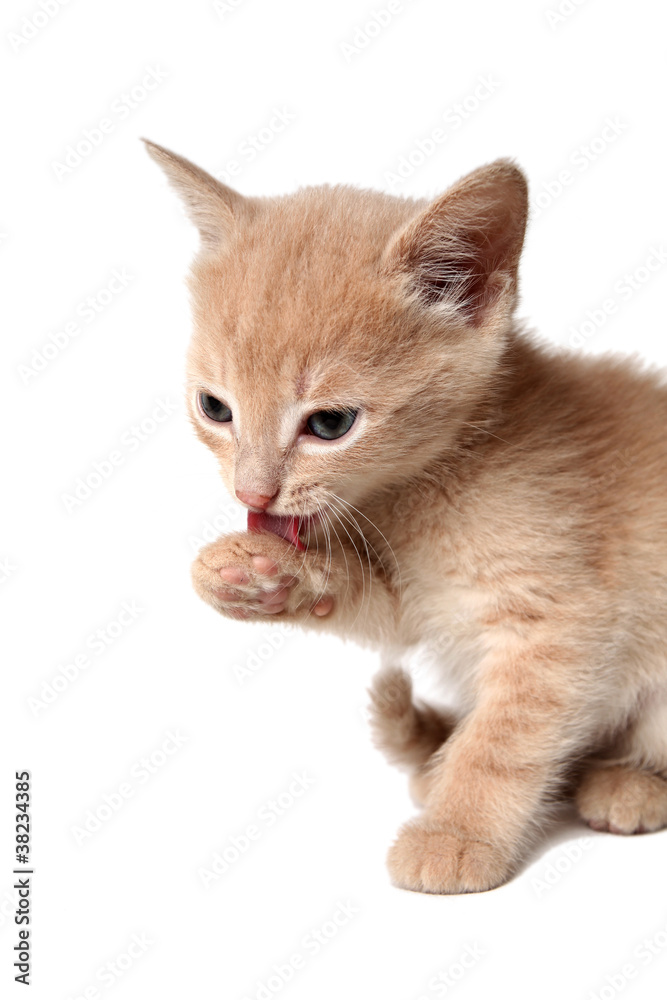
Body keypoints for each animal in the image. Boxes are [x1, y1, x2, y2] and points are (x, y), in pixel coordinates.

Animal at [145, 139, 667, 892]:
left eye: (330, 424)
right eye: (215, 409)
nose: (253, 496)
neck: (429, 483)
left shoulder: (565, 620)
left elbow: (506, 735)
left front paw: (458, 831)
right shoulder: (420, 601)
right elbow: (372, 608)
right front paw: (259, 574)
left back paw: (625, 784)